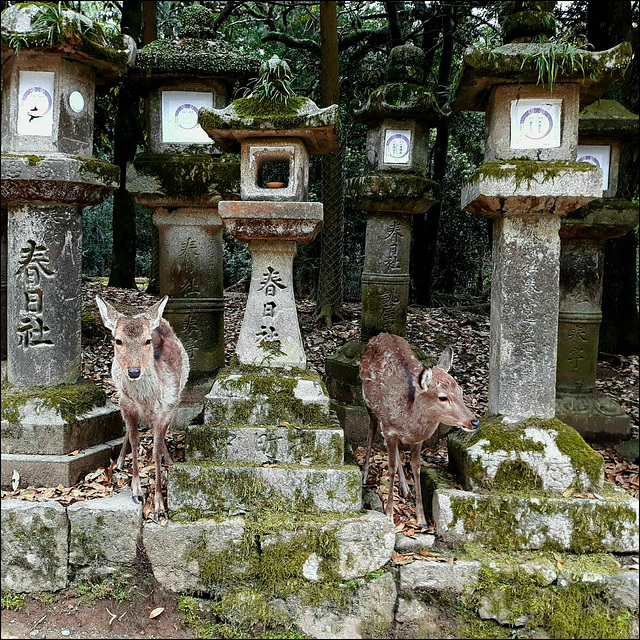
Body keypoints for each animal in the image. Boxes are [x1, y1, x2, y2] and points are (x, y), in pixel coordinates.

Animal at [95, 296, 190, 520]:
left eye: (147, 340)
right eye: (118, 340)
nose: (134, 371)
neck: (147, 401)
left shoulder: (167, 410)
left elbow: (155, 451)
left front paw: (160, 507)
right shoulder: (126, 404)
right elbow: (134, 440)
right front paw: (137, 492)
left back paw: (169, 459)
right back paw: (120, 462)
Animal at [358, 332, 478, 528]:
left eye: (461, 391)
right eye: (442, 397)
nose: (474, 422)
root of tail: (380, 335)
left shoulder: (417, 440)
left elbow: (416, 468)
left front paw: (422, 519)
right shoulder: (389, 430)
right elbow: (390, 466)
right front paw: (389, 514)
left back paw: (406, 488)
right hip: (369, 404)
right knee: (371, 430)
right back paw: (365, 475)